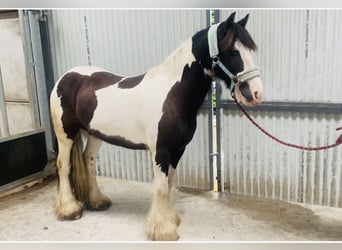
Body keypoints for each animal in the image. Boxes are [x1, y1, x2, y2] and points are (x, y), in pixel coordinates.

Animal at [49, 12, 262, 241]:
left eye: (250, 50)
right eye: (233, 50)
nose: (256, 93)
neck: (173, 94)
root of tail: (65, 77)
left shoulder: (177, 150)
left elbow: (168, 185)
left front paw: (171, 220)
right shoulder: (160, 151)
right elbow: (160, 187)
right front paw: (162, 229)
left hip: (94, 134)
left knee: (87, 160)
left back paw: (97, 201)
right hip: (65, 134)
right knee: (63, 165)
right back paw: (69, 209)